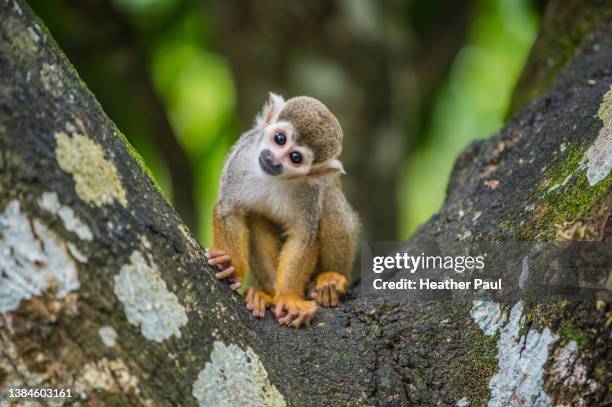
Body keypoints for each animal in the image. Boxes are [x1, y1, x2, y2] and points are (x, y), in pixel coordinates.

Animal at [206, 93, 358, 328]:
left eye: (295, 158)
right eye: (280, 139)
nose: (273, 159)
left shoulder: (309, 189)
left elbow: (303, 236)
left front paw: (288, 297)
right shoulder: (241, 157)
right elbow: (230, 209)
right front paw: (231, 268)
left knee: (330, 198)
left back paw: (332, 281)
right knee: (256, 216)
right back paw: (264, 295)